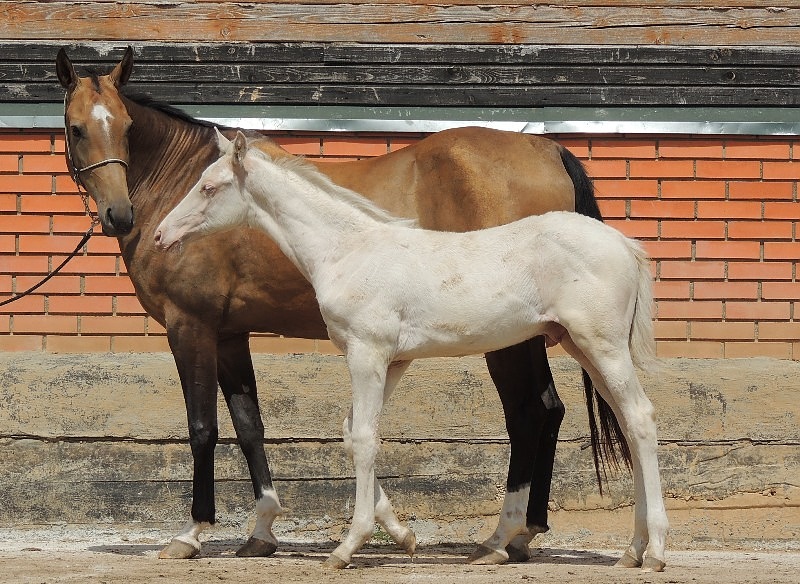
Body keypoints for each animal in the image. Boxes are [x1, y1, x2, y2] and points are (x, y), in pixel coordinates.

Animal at [56, 46, 619, 564]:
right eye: (77, 128)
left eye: (127, 126)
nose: (119, 214)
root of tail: (545, 148)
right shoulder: (231, 334)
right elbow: (250, 426)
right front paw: (267, 530)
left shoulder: (190, 326)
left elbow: (203, 429)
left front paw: (191, 534)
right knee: (548, 409)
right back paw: (524, 533)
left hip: (508, 339)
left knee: (528, 414)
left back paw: (503, 538)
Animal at [154, 129, 668, 572]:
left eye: (208, 187)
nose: (161, 236)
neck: (348, 250)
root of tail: (625, 244)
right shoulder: (395, 359)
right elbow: (351, 431)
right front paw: (402, 535)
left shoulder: (366, 353)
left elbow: (365, 438)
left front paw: (348, 546)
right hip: (583, 348)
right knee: (627, 423)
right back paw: (630, 550)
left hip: (601, 346)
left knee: (640, 419)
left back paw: (654, 550)